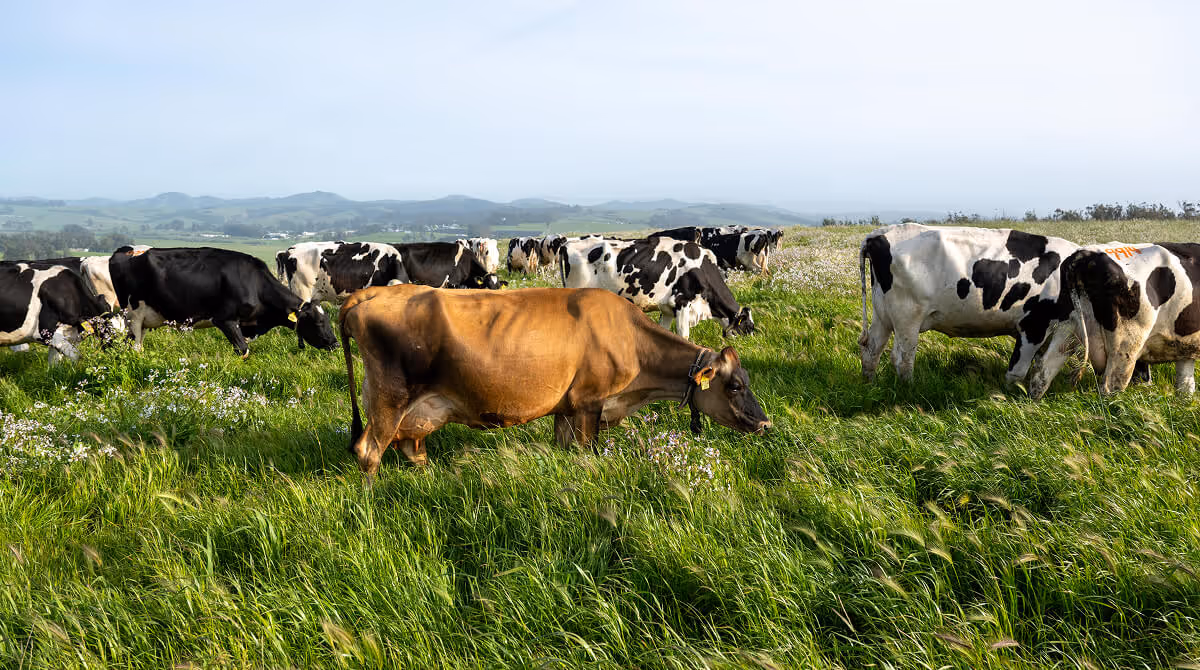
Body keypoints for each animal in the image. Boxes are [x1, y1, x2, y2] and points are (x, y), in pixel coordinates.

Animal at [108, 247, 338, 356]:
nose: (335, 344)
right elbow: (242, 350)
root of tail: (124, 251)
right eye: (318, 322)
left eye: (328, 321)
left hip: (145, 319)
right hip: (133, 316)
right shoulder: (225, 320)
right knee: (134, 346)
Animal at [339, 284, 771, 475]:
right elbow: (587, 453)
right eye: (734, 385)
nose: (765, 423)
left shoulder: (566, 408)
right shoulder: (590, 404)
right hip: (390, 398)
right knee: (369, 451)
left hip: (408, 409)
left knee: (410, 448)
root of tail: (369, 293)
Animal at [559, 236, 754, 339]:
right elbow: (684, 336)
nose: (752, 341)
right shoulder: (682, 302)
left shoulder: (667, 308)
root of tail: (567, 243)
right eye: (748, 325)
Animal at [859, 223, 1084, 385]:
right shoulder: (1034, 326)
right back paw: (910, 391)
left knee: (871, 350)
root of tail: (879, 234)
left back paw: (870, 385)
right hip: (907, 318)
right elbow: (1018, 371)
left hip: (882, 315)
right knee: (902, 360)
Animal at [1029, 242, 1200, 398]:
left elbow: (1185, 385)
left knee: (1042, 372)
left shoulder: (1186, 349)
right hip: (1125, 347)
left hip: (1068, 330)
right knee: (1110, 386)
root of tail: (1086, 254)